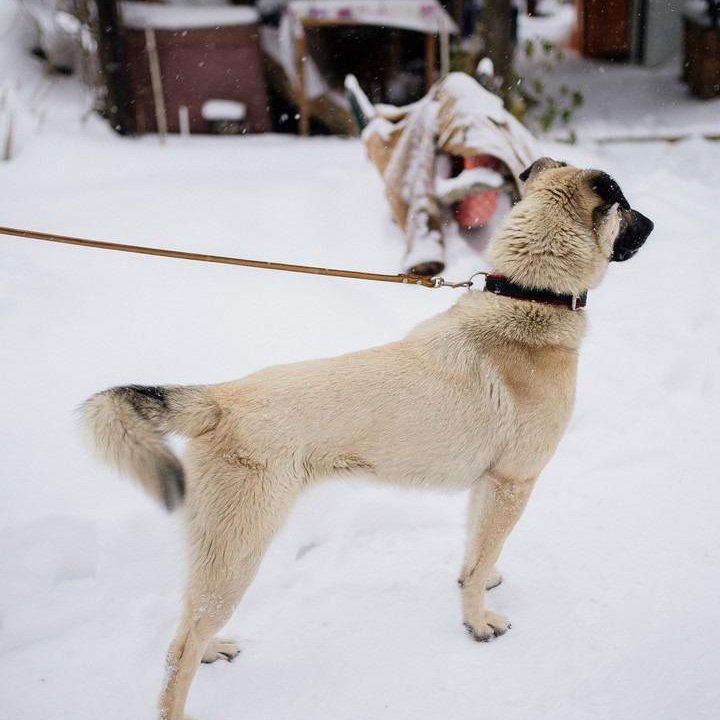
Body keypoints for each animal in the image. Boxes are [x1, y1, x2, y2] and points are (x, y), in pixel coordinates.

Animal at [83, 159, 652, 720]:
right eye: (624, 205)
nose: (651, 225)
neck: (529, 296)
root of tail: (219, 398)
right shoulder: (514, 482)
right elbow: (478, 561)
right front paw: (477, 623)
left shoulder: (488, 484)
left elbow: (475, 551)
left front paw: (482, 580)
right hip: (239, 550)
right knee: (178, 648)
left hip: (217, 549)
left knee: (188, 626)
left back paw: (213, 648)